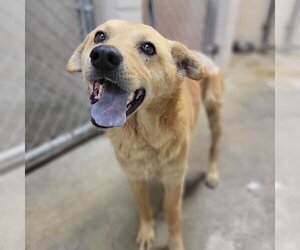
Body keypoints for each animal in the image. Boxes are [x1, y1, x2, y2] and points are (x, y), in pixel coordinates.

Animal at [67, 20, 223, 250]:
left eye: (148, 48)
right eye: (99, 36)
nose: (103, 55)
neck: (143, 136)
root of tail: (200, 53)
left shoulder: (175, 179)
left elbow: (173, 216)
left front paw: (175, 243)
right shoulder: (135, 178)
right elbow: (143, 208)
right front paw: (147, 232)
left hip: (214, 112)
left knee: (214, 147)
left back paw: (212, 173)